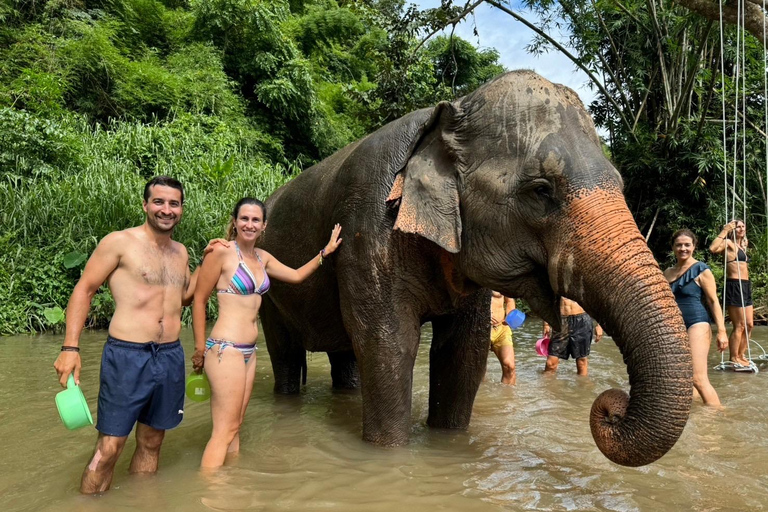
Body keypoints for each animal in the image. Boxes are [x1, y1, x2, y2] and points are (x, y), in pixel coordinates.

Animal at [260, 70, 696, 466]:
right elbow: (389, 345)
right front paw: (388, 455)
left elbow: (462, 352)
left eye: (620, 186)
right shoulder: (367, 230)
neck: (447, 112)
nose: (612, 406)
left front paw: (449, 443)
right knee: (286, 354)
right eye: (541, 190)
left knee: (346, 355)